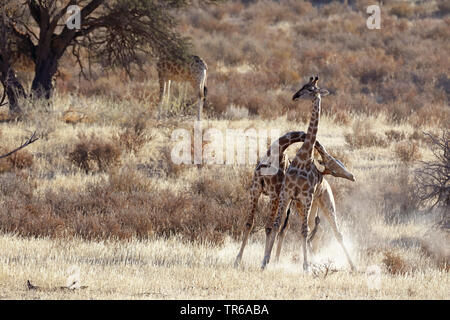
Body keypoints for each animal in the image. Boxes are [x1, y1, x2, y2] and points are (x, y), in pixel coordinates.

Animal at [232, 130, 356, 268]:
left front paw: (263, 261)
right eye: (335, 164)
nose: (351, 176)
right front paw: (237, 260)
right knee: (295, 228)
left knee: (305, 229)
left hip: (308, 205)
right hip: (301, 205)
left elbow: (268, 227)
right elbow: (249, 223)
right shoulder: (255, 189)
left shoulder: (274, 194)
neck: (275, 154)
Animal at [260, 75, 356, 272]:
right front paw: (265, 261)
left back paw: (352, 266)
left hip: (325, 203)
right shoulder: (287, 194)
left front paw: (305, 266)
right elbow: (276, 226)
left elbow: (302, 231)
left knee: (337, 233)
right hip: (305, 207)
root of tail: (326, 183)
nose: (295, 96)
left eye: (311, 89)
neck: (304, 158)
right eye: (302, 86)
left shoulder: (307, 196)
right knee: (310, 230)